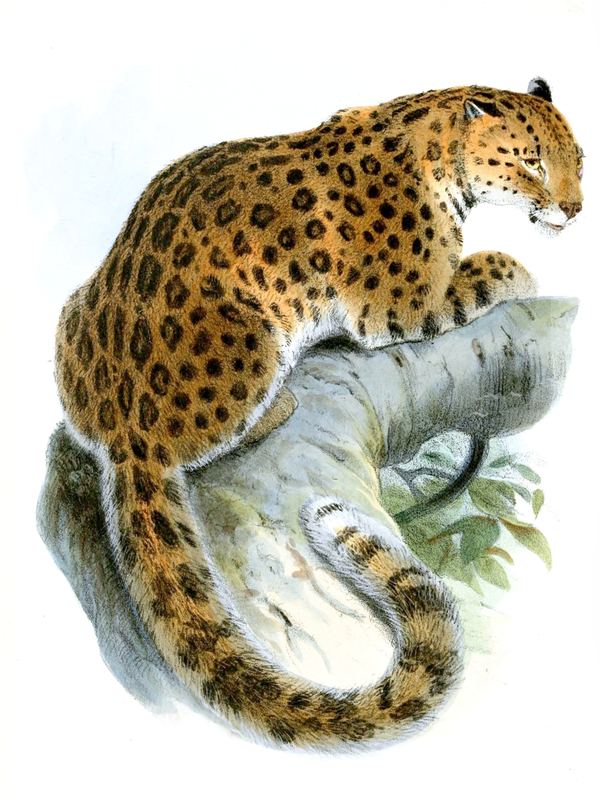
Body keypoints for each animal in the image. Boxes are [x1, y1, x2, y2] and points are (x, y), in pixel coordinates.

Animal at [54, 77, 583, 749]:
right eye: (532, 162)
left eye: (579, 161)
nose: (575, 209)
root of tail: (125, 429)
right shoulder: (404, 304)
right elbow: (482, 275)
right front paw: (513, 266)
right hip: (254, 339)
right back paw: (280, 406)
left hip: (70, 317)